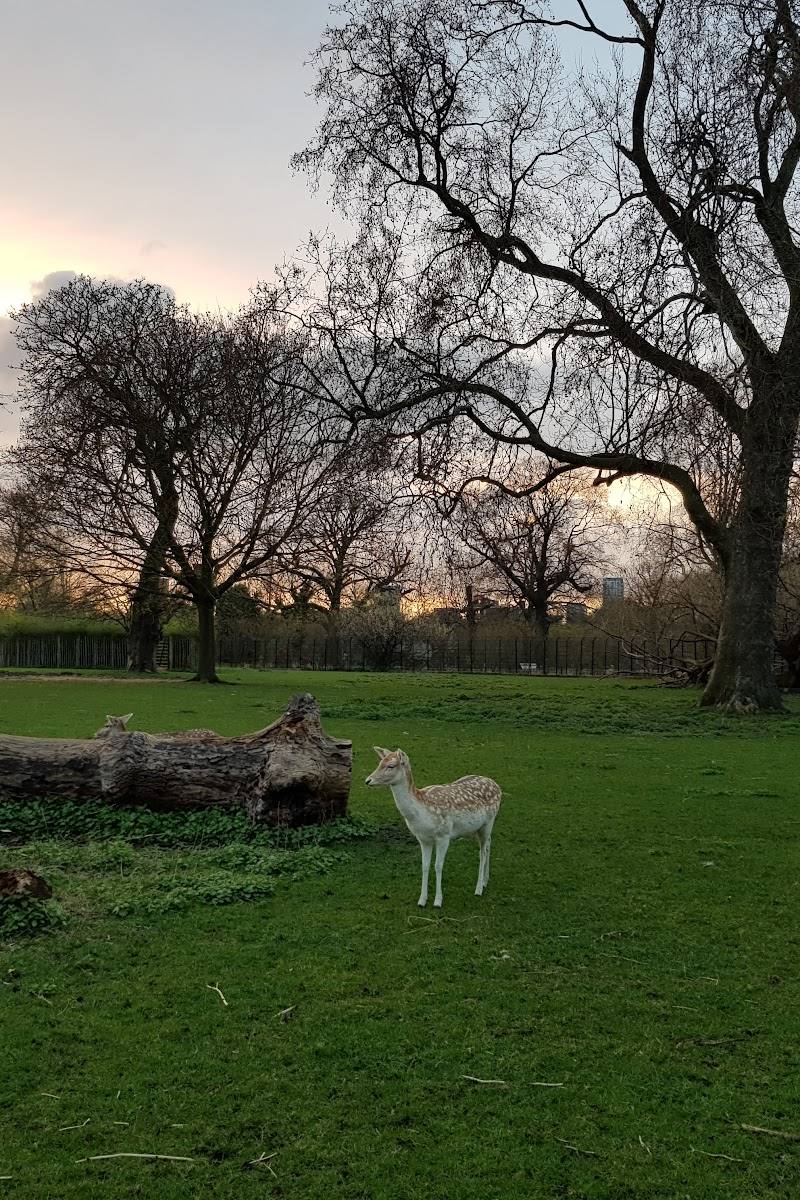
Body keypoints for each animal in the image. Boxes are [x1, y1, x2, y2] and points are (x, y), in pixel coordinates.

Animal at [365, 747, 501, 908]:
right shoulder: (423, 839)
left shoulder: (444, 835)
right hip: (475, 829)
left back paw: (479, 888)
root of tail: (496, 785)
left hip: (489, 821)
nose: (368, 780)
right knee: (488, 844)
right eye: (380, 763)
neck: (422, 814)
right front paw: (422, 900)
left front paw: (438, 901)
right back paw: (486, 880)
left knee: (483, 852)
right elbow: (424, 866)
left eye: (390, 766)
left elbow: (438, 866)